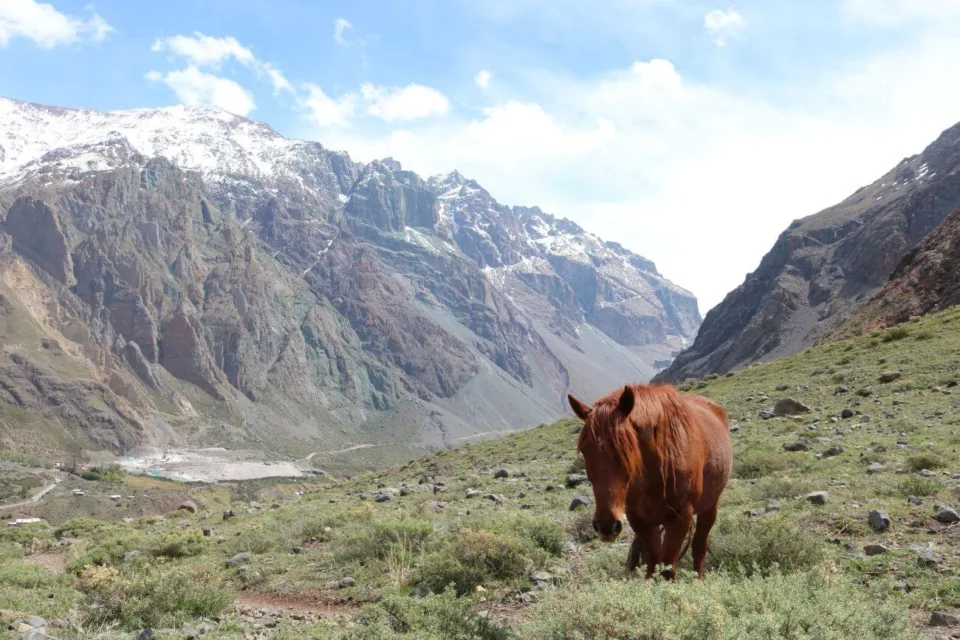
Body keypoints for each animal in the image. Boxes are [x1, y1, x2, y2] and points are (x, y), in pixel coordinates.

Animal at [568, 382, 732, 584]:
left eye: (627, 448)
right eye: (584, 450)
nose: (606, 526)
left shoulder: (681, 516)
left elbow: (667, 567)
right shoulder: (638, 518)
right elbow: (653, 561)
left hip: (709, 507)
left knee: (699, 546)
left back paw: (698, 580)